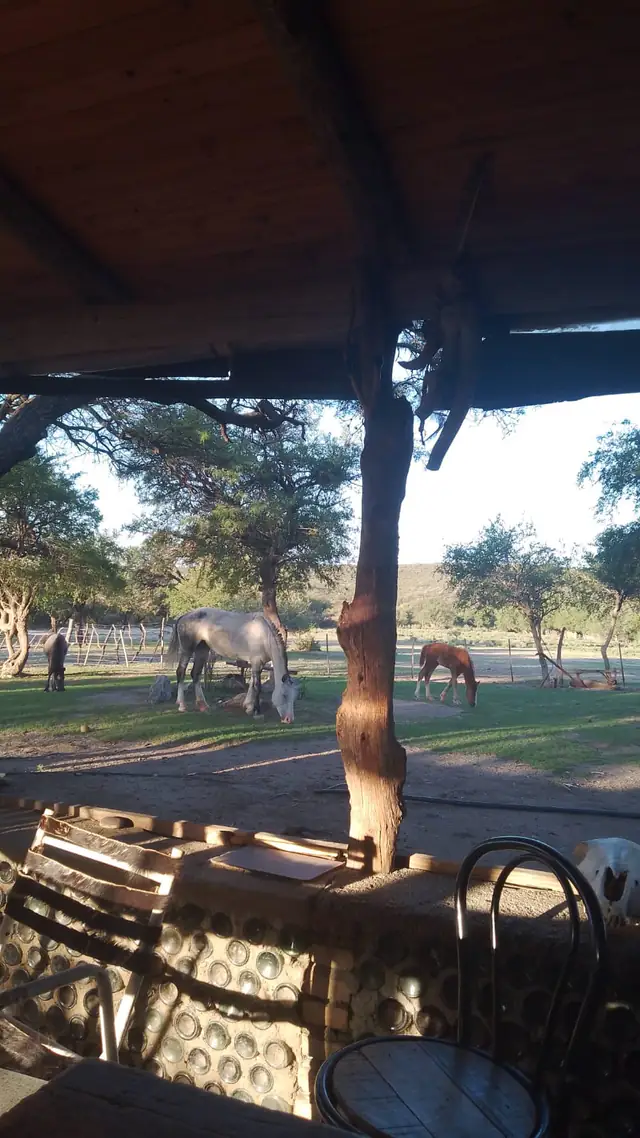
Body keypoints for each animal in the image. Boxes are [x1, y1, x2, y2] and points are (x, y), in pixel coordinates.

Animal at [167, 608, 299, 723]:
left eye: (293, 697)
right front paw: (256, 712)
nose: (289, 719)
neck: (264, 634)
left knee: (195, 673)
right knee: (181, 671)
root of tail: (185, 616)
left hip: (202, 649)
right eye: (284, 695)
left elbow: (251, 684)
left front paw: (248, 706)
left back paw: (203, 705)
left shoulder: (257, 664)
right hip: (187, 650)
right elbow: (257, 686)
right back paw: (182, 705)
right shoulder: (256, 662)